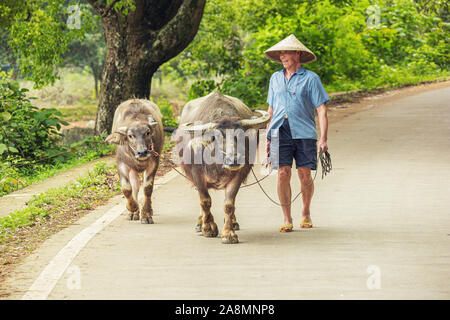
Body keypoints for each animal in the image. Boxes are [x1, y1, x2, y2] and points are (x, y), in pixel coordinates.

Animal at [174, 91, 268, 244]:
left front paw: (228, 233)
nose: (234, 160)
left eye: (241, 135)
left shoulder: (238, 175)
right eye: (217, 137)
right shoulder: (197, 175)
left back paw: (233, 222)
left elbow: (229, 204)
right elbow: (205, 201)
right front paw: (208, 228)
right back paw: (199, 223)